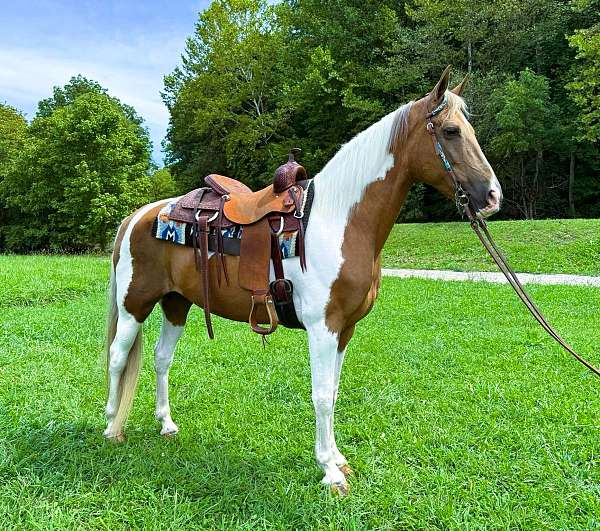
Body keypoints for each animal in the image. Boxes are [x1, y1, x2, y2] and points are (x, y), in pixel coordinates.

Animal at [103, 66, 502, 494]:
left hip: (176, 303)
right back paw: (111, 427)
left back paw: (166, 424)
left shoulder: (345, 329)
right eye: (450, 131)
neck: (340, 220)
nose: (493, 196)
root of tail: (140, 215)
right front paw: (330, 471)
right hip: (134, 304)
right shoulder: (323, 327)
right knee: (118, 356)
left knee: (162, 358)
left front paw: (338, 460)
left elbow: (335, 390)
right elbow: (322, 394)